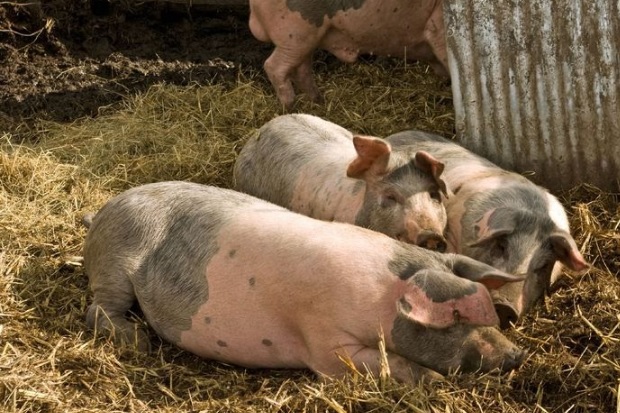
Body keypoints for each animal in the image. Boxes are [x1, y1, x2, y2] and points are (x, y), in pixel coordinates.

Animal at [83, 182, 528, 382]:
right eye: (454, 318)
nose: (517, 355)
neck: (381, 300)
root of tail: (104, 209)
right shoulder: (325, 343)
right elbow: (384, 362)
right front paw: (433, 380)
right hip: (117, 258)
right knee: (98, 307)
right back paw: (137, 341)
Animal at [249, 0, 448, 108]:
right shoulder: (439, 27)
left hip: (306, 38)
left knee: (302, 70)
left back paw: (319, 103)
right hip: (295, 32)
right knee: (274, 67)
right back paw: (291, 108)